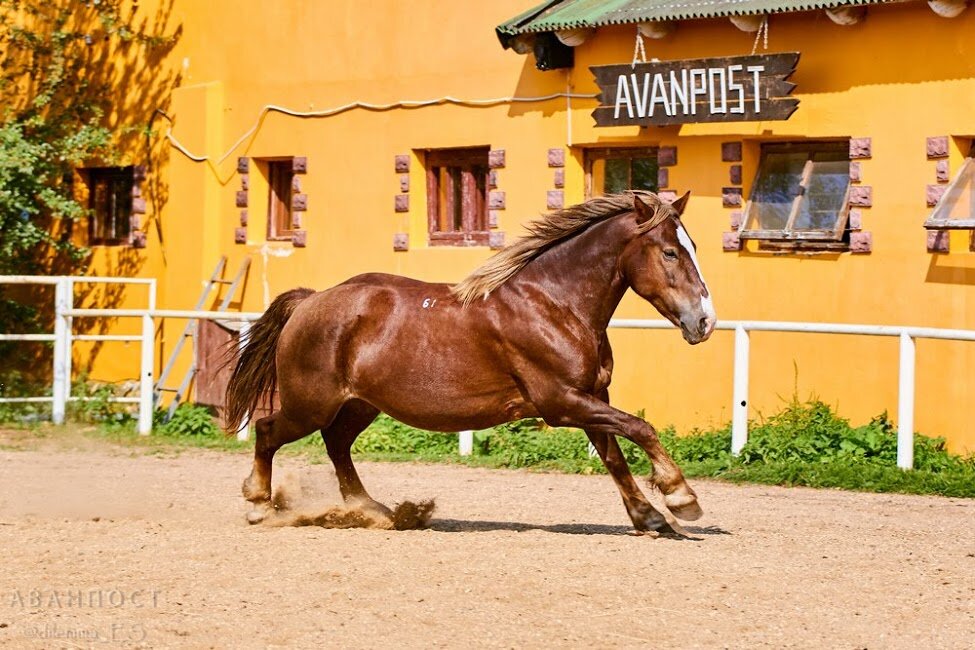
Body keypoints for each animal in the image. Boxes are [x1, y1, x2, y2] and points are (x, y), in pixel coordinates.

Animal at [229, 190, 716, 536]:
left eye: (693, 246)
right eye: (670, 252)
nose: (705, 321)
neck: (554, 304)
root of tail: (311, 301)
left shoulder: (592, 396)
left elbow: (614, 456)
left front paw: (650, 518)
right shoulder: (562, 402)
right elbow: (640, 428)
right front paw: (681, 498)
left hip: (359, 405)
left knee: (336, 444)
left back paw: (374, 511)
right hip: (311, 403)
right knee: (269, 431)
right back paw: (258, 505)